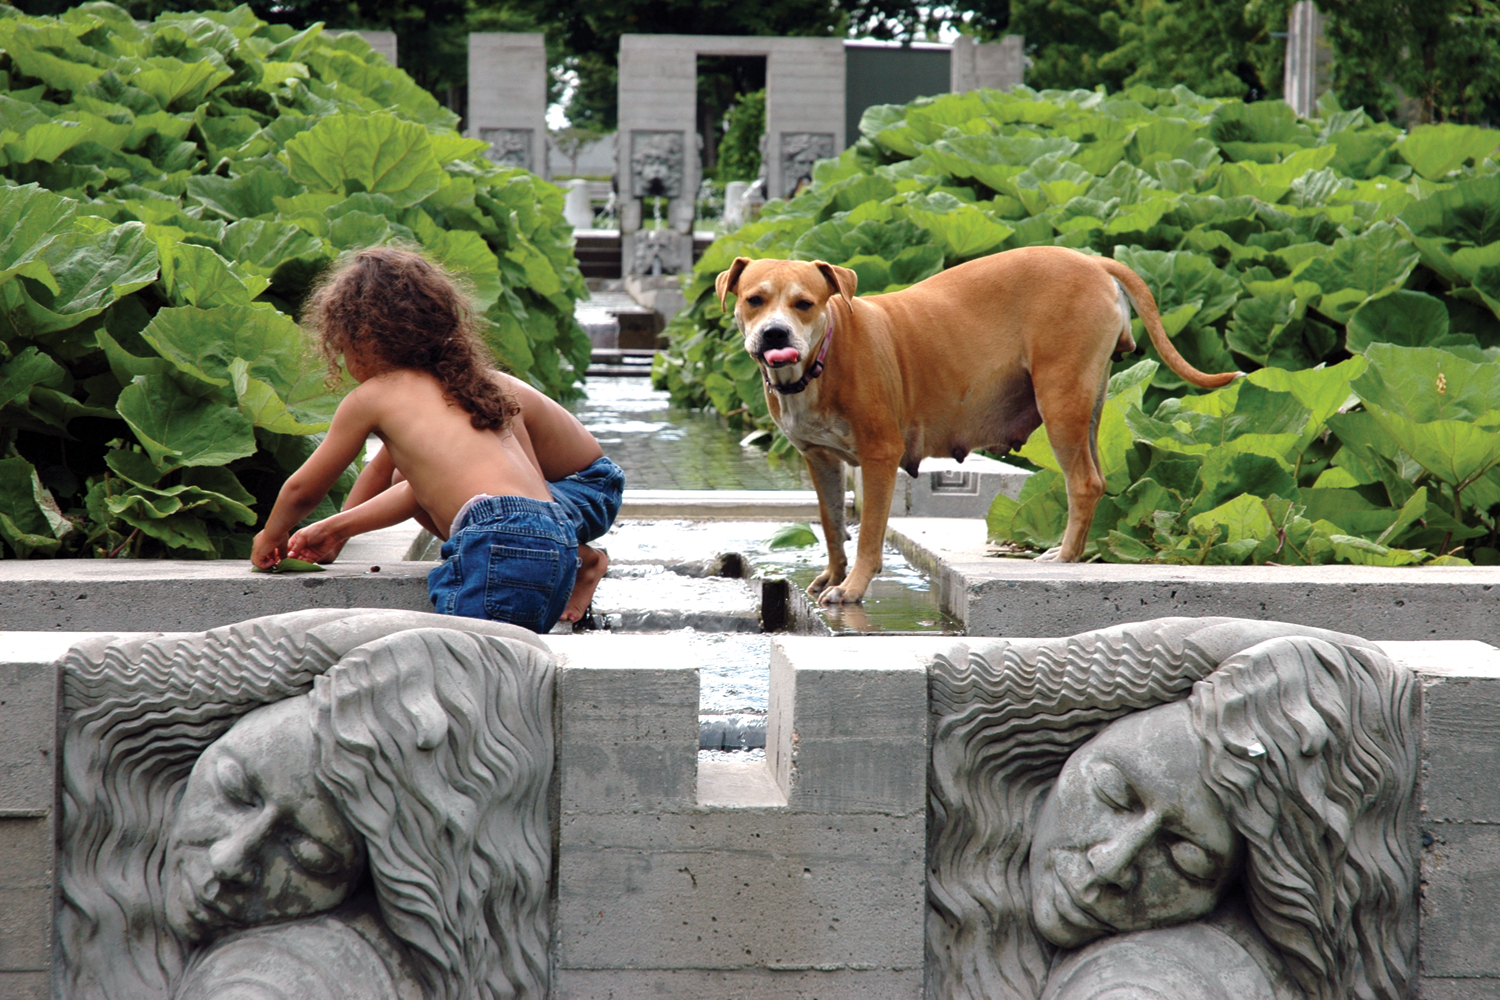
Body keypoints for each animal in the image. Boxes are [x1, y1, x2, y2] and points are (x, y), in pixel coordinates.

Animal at [720, 245, 1236, 602]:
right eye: (754, 300)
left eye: (804, 304)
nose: (775, 333)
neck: (821, 360)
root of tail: (1091, 261)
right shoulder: (820, 460)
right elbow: (831, 524)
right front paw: (832, 573)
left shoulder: (879, 455)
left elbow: (868, 532)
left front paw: (852, 587)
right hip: (1090, 400)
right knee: (1096, 475)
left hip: (1060, 399)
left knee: (1084, 482)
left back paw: (1066, 556)